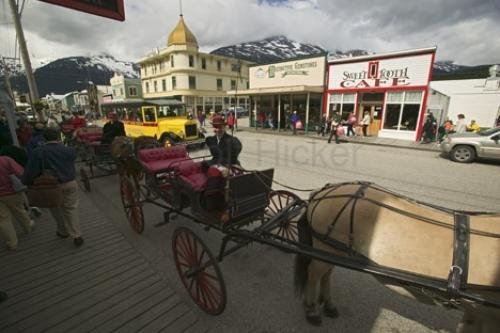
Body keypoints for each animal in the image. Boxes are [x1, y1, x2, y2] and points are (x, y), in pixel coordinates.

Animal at [292, 182, 500, 332]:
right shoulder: (487, 315)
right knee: (313, 274)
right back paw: (311, 309)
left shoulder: (478, 313)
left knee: (325, 274)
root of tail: (323, 191)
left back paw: (327, 303)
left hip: (333, 250)